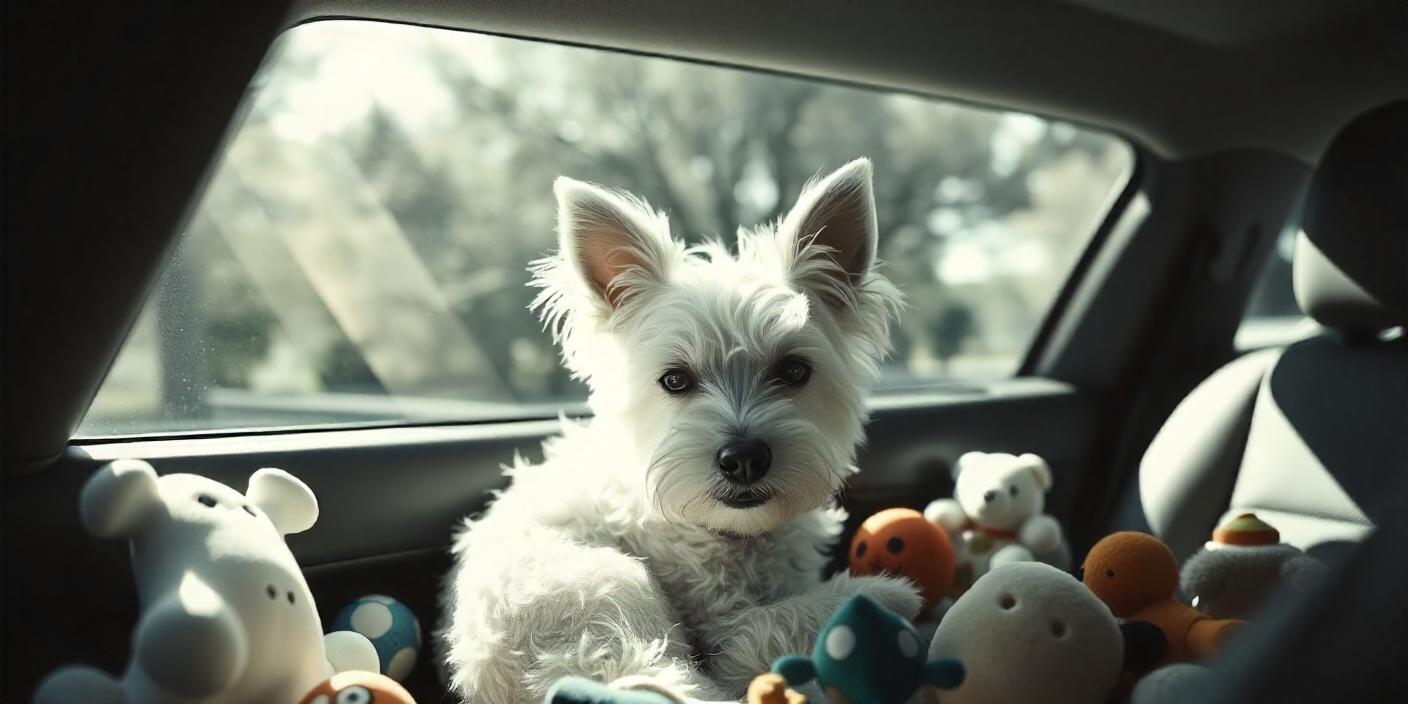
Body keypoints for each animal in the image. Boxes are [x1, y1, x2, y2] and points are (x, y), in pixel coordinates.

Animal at [442, 161, 923, 704]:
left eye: (794, 370)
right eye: (675, 379)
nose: (743, 458)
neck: (732, 532)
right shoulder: (725, 623)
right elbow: (755, 636)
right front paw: (882, 593)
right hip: (606, 590)